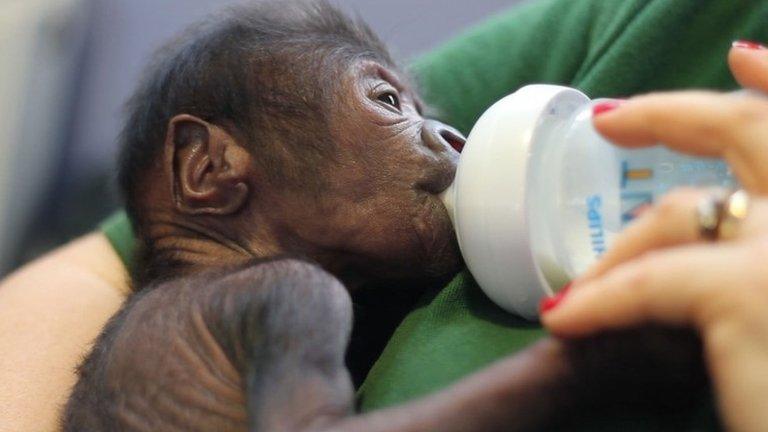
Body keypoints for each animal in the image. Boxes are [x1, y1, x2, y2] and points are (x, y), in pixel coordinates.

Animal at [63, 1, 712, 430]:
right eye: (389, 101)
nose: (455, 137)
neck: (213, 261)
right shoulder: (295, 292)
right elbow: (313, 425)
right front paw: (630, 351)